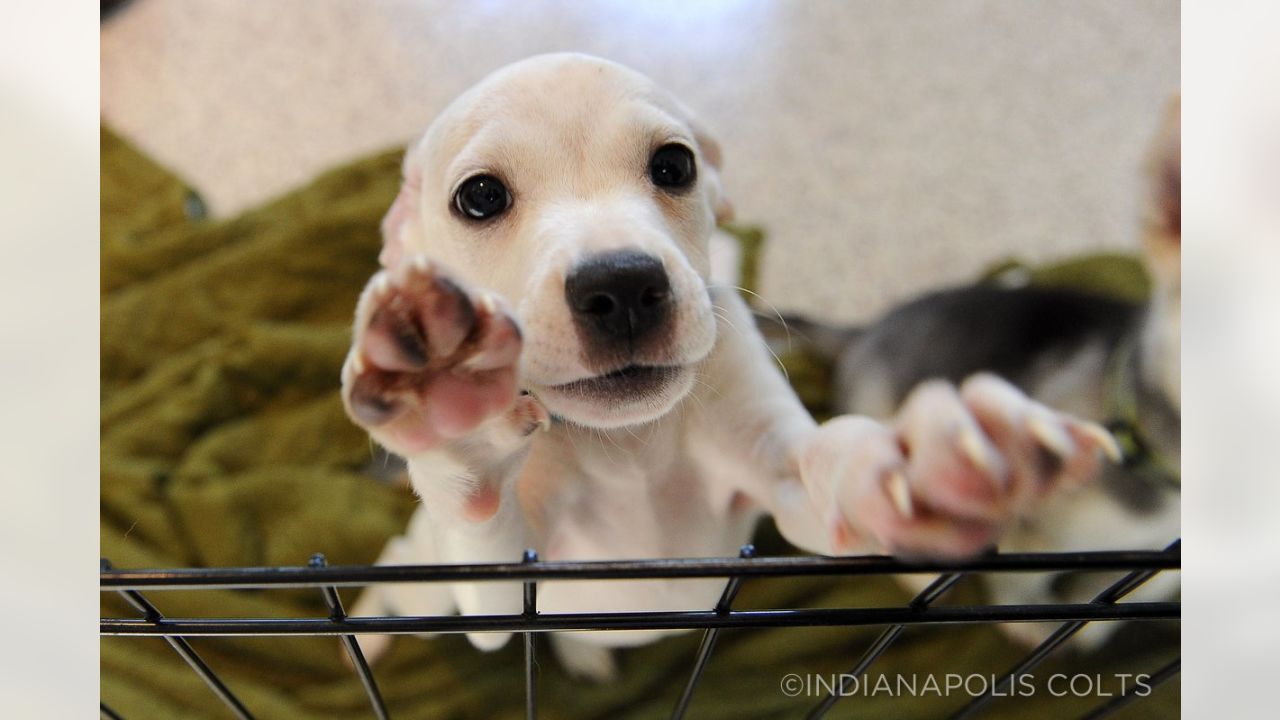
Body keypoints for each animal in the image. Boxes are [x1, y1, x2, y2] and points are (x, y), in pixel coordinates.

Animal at [345, 53, 1116, 676]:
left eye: (674, 166)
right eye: (480, 197)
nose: (622, 285)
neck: (632, 444)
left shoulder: (788, 485)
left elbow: (836, 478)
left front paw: (922, 465)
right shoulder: (500, 591)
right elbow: (484, 536)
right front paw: (458, 412)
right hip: (429, 585)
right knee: (396, 571)